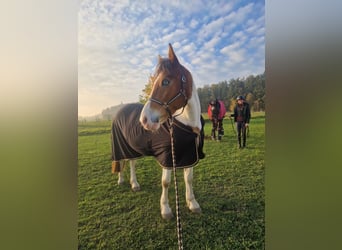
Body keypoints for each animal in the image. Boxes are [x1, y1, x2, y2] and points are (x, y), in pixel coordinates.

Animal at [111, 43, 204, 219]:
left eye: (166, 81)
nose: (144, 120)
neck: (186, 125)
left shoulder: (190, 155)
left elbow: (189, 179)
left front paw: (193, 203)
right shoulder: (167, 157)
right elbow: (166, 182)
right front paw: (166, 209)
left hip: (132, 147)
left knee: (131, 162)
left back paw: (134, 184)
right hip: (120, 146)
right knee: (122, 160)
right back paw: (121, 180)